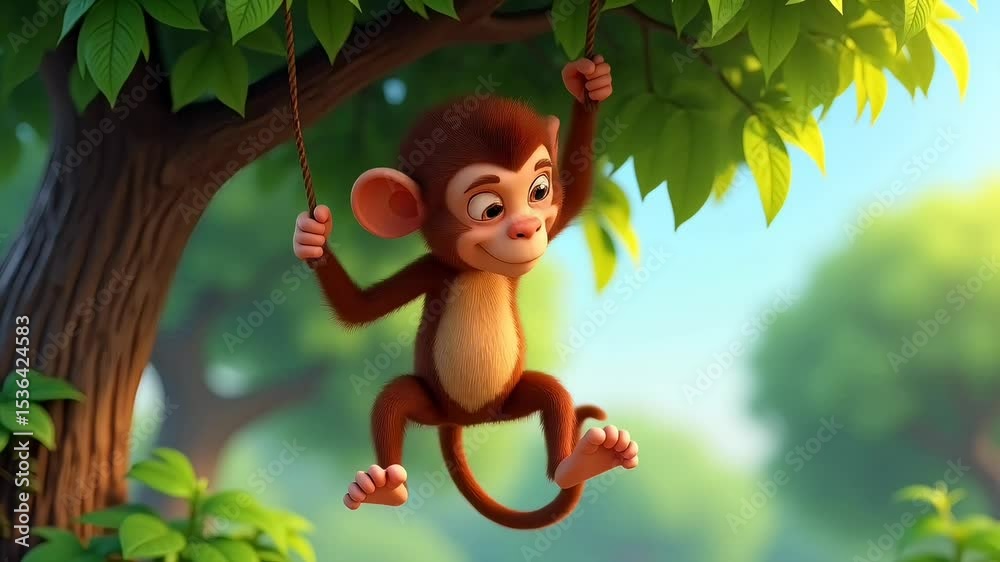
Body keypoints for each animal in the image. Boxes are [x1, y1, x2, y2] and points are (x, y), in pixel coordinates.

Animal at [292, 56, 637, 529]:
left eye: (540, 191)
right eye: (489, 209)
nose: (527, 228)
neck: (476, 271)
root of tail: (464, 421)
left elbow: (577, 190)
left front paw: (591, 85)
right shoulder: (434, 269)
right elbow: (358, 311)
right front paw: (313, 238)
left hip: (509, 401)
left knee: (552, 395)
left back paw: (580, 462)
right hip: (432, 402)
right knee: (393, 401)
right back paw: (385, 488)